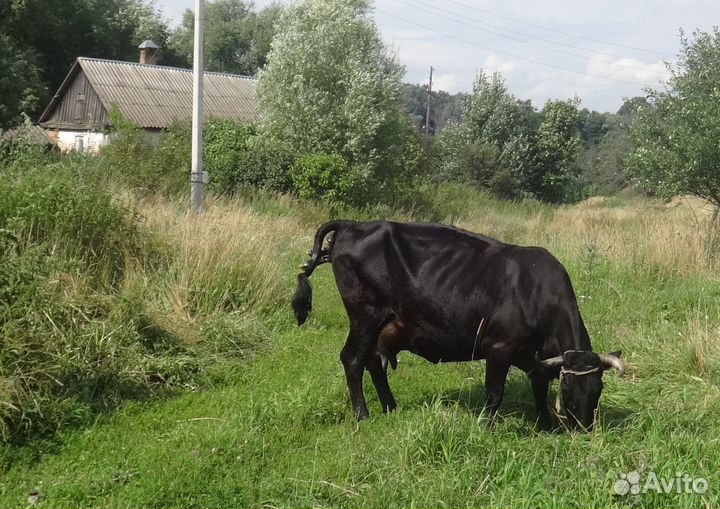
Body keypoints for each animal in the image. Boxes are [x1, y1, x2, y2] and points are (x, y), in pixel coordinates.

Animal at [291, 220, 625, 431]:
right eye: (568, 390)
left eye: (598, 388)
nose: (583, 428)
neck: (537, 292)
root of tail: (352, 224)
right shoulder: (499, 348)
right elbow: (494, 392)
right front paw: (487, 427)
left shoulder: (537, 358)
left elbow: (539, 389)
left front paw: (544, 425)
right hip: (365, 315)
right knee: (352, 359)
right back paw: (363, 415)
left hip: (383, 325)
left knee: (374, 362)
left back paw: (390, 407)